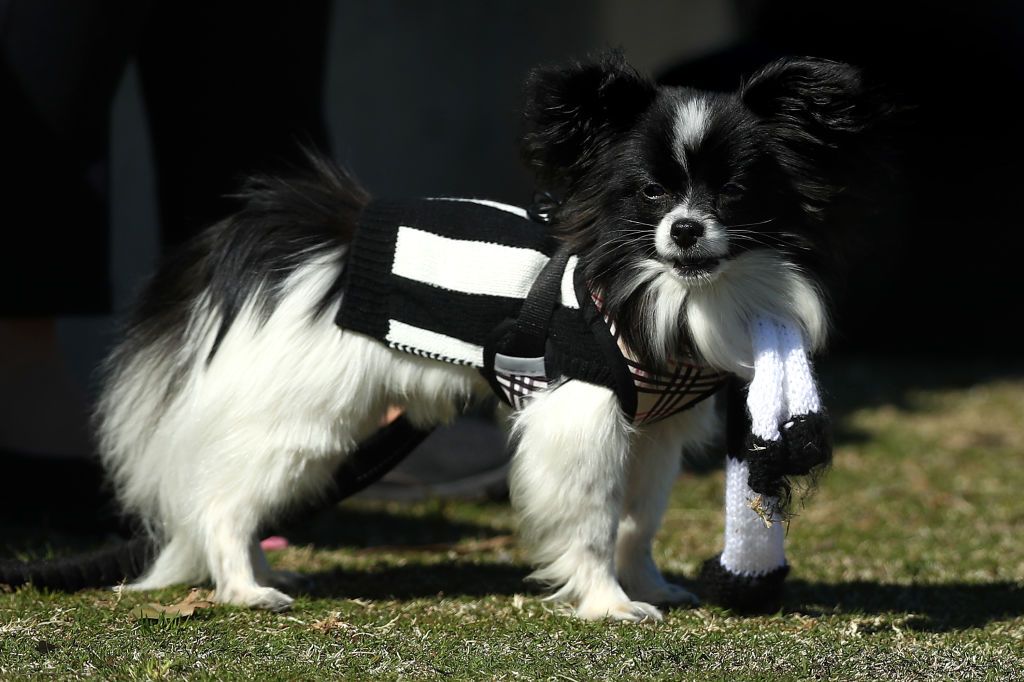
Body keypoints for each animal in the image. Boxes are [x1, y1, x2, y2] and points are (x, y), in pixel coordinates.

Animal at [92, 54, 884, 614]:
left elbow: (638, 522)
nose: (684, 229)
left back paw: (265, 572)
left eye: (734, 192)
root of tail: (333, 236)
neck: (662, 291)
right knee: (223, 504)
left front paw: (648, 587)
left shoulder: (653, 432)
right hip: (308, 423)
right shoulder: (584, 417)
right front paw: (607, 604)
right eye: (650, 192)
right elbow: (594, 522)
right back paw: (246, 590)